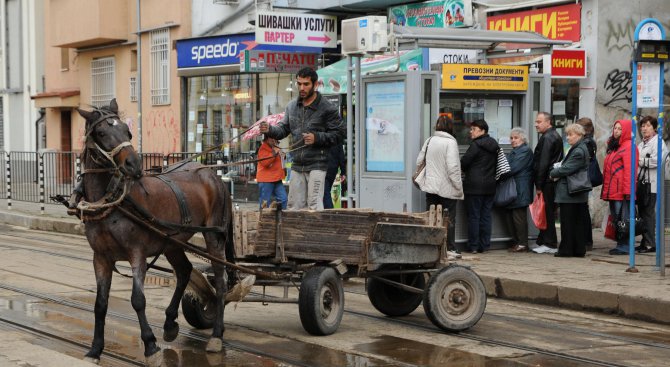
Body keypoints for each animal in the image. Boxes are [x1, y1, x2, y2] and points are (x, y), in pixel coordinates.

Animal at [74, 99, 234, 366]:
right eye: (102, 133)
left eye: (127, 132)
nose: (134, 164)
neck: (111, 202)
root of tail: (211, 172)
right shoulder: (101, 258)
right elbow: (100, 304)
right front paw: (95, 349)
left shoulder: (136, 254)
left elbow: (138, 300)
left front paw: (150, 346)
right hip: (172, 242)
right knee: (184, 271)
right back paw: (170, 323)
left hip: (214, 236)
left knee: (220, 282)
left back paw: (216, 335)